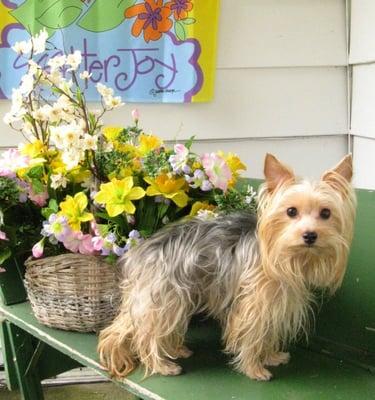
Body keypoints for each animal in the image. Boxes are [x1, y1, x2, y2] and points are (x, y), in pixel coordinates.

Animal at [98, 153, 356, 382]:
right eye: (291, 211)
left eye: (326, 213)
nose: (310, 235)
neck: (282, 254)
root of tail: (141, 250)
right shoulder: (254, 304)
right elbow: (252, 335)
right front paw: (254, 369)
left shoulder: (277, 301)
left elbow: (268, 332)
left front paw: (271, 356)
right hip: (164, 297)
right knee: (145, 333)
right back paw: (162, 365)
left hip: (172, 296)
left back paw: (174, 350)